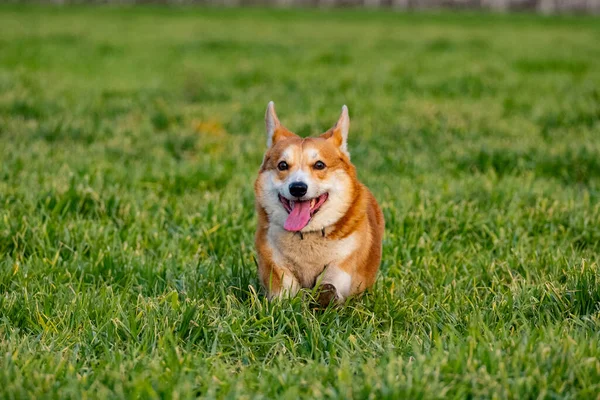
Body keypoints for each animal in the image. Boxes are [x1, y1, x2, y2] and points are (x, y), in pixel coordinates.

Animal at [253, 103, 384, 306]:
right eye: (282, 165)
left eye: (319, 165)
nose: (298, 188)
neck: (307, 234)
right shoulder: (273, 263)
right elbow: (284, 291)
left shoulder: (343, 264)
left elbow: (330, 282)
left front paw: (325, 297)